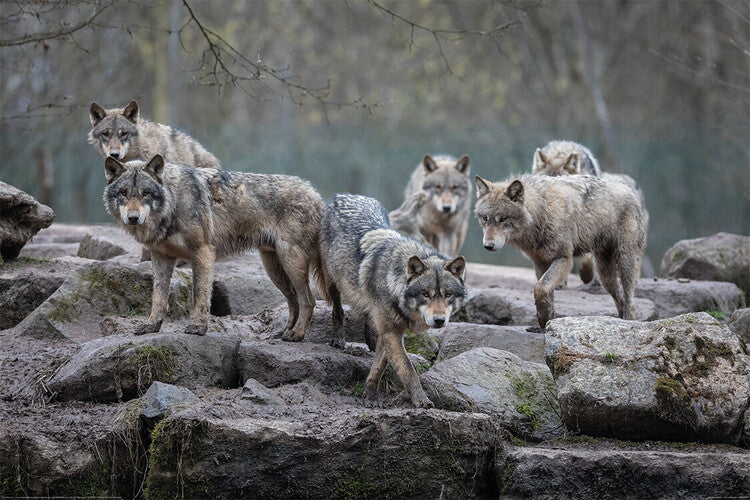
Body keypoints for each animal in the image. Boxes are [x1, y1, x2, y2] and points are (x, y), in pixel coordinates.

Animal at [102, 154, 323, 339]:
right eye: (124, 193)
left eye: (146, 193)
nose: (133, 218)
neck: (174, 202)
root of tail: (315, 193)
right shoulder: (161, 257)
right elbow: (158, 297)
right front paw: (151, 325)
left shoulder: (203, 252)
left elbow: (199, 294)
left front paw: (199, 328)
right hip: (273, 268)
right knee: (294, 300)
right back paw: (285, 332)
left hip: (290, 262)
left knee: (308, 300)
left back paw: (297, 334)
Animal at [320, 193, 467, 408]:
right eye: (426, 294)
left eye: (447, 295)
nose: (439, 321)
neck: (394, 282)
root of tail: (346, 195)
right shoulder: (391, 331)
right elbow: (408, 369)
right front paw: (421, 400)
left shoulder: (390, 331)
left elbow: (379, 365)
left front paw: (370, 394)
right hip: (332, 281)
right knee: (337, 309)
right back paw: (338, 338)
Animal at [474, 174, 646, 329]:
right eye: (485, 218)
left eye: (503, 219)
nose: (488, 245)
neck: (542, 212)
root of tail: (629, 190)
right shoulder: (540, 262)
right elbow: (545, 292)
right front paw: (546, 321)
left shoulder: (564, 259)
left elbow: (540, 288)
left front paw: (544, 320)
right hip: (605, 274)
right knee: (619, 298)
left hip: (624, 261)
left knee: (630, 298)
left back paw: (629, 321)